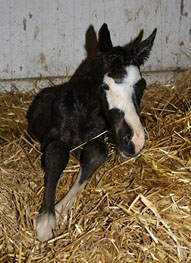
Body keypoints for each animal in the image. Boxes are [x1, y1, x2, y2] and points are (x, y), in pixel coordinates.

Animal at [27, 23, 157, 242]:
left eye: (143, 85)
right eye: (105, 85)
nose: (134, 140)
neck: (84, 110)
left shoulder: (97, 138)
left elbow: (96, 155)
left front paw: (61, 209)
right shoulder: (52, 136)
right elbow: (57, 154)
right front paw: (46, 221)